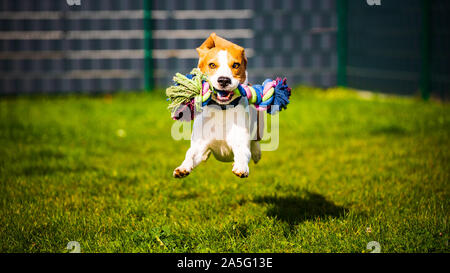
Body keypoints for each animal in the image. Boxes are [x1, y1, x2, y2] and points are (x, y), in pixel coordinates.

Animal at [173, 33, 264, 178]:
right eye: (212, 65)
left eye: (236, 65)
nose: (224, 80)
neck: (222, 109)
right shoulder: (199, 143)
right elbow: (190, 155)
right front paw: (182, 168)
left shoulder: (240, 140)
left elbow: (242, 153)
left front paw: (241, 167)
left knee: (256, 141)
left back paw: (256, 153)